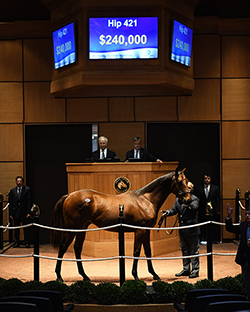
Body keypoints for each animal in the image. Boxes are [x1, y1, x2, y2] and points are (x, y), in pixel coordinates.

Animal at [50, 168, 191, 282]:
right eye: (179, 182)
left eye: (187, 181)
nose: (188, 199)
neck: (146, 200)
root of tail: (69, 195)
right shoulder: (139, 231)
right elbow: (136, 251)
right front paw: (135, 276)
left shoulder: (146, 231)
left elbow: (148, 251)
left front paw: (155, 275)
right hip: (72, 229)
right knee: (63, 247)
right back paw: (59, 277)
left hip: (81, 229)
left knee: (77, 248)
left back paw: (85, 276)